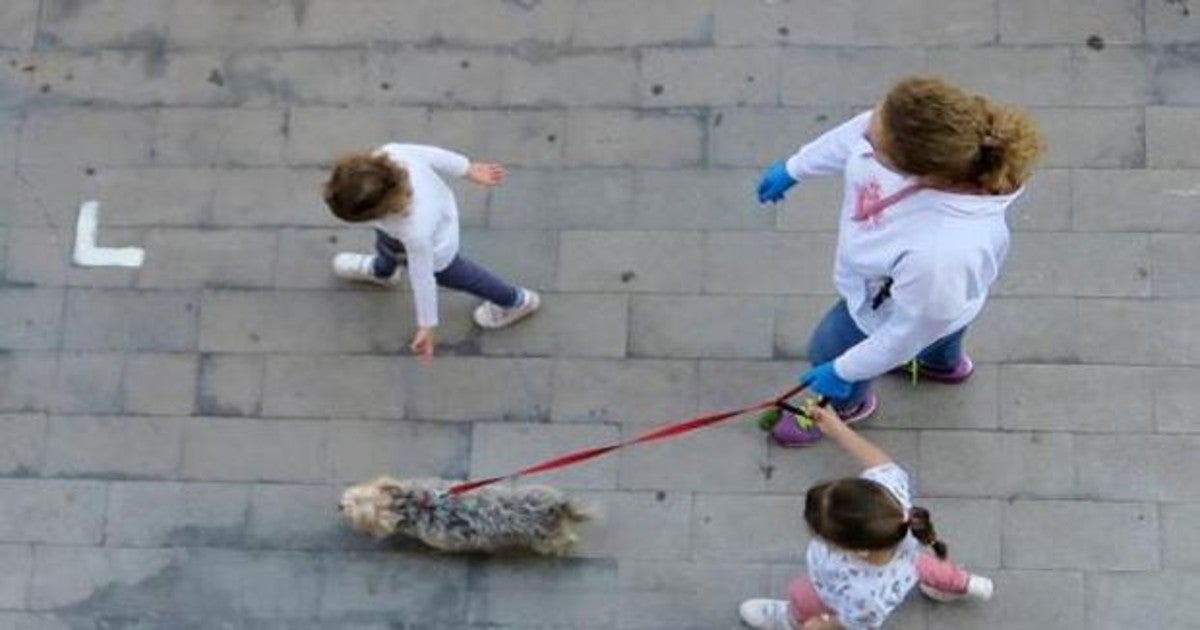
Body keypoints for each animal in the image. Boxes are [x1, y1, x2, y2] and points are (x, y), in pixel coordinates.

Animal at [338, 477, 590, 554]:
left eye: (355, 511)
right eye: (354, 496)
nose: (339, 505)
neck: (411, 505)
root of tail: (556, 506)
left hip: (545, 538)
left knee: (565, 540)